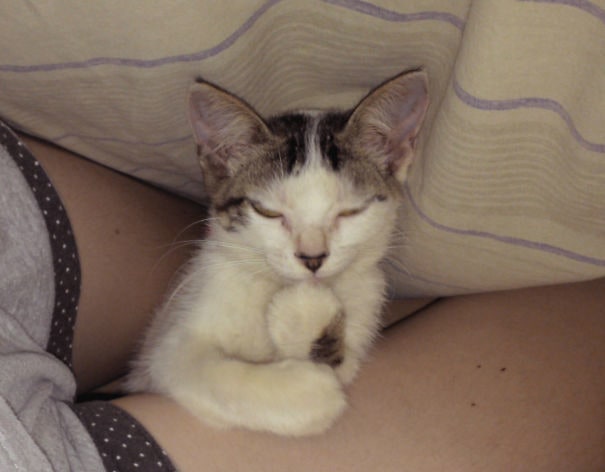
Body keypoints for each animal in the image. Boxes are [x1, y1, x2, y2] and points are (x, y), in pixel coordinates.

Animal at [126, 69, 430, 436]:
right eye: (267, 212)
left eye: (350, 212)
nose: (312, 258)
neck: (272, 285)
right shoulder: (170, 348)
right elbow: (203, 370)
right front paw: (310, 393)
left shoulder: (366, 301)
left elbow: (342, 365)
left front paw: (301, 313)